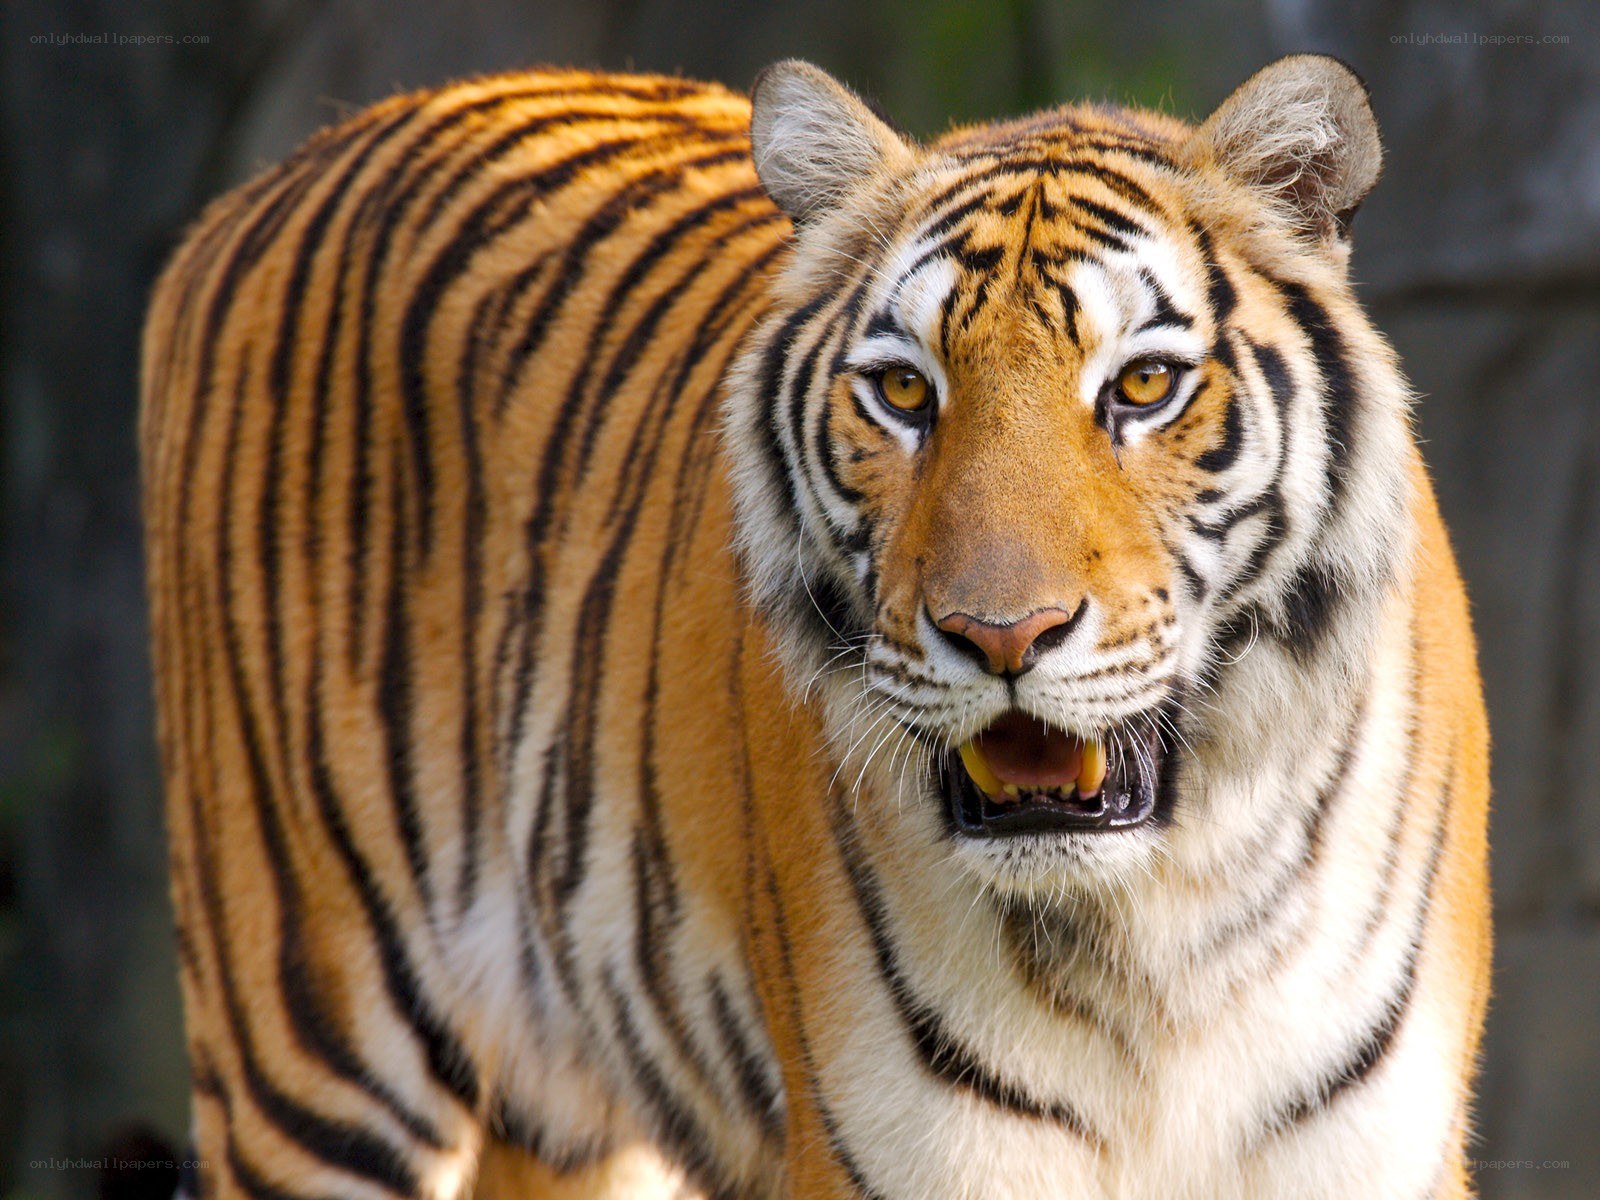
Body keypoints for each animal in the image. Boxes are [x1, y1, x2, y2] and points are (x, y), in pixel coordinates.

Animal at [140, 52, 1491, 1200]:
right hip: (305, 1043)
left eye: (1145, 385)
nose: (1002, 636)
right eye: (902, 392)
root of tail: (270, 181)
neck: (1161, 933)